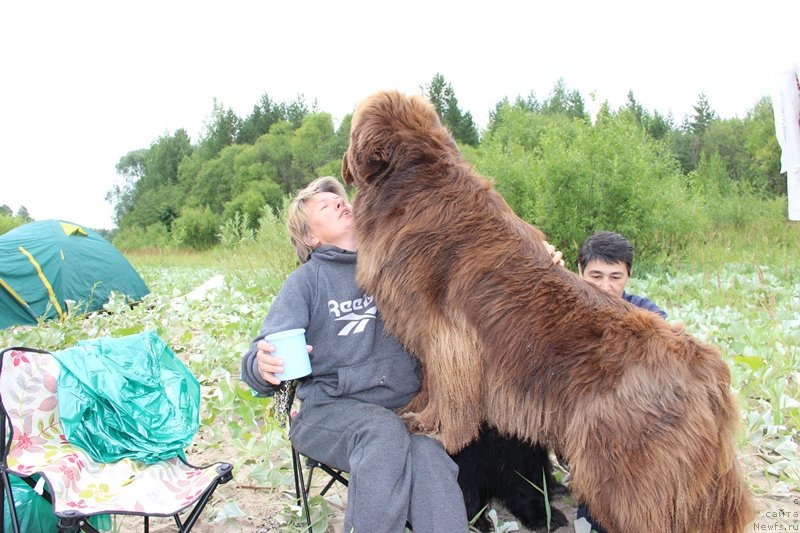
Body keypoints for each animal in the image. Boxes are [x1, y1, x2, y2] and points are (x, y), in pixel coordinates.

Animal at [342, 90, 756, 532]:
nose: (344, 164)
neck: (414, 179)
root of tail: (707, 368)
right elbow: (430, 385)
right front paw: (416, 412)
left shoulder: (446, 336)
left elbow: (449, 393)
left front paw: (432, 430)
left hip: (628, 474)